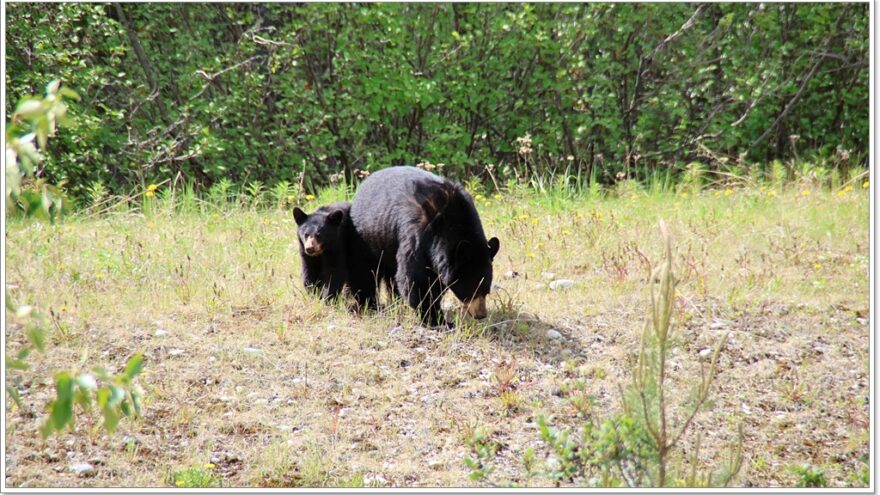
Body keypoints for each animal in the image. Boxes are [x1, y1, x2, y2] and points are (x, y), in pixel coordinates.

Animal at [350, 167, 502, 328]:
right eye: (472, 289)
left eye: (486, 290)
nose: (481, 314)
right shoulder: (417, 235)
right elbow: (416, 280)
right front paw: (437, 320)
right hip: (368, 238)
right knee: (365, 272)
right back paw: (371, 305)